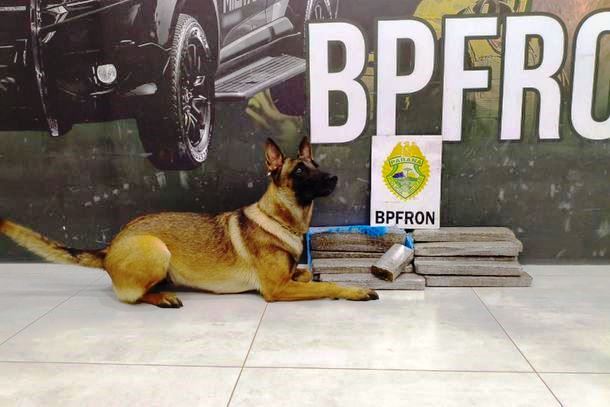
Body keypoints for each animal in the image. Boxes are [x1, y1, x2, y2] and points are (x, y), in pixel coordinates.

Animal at [0, 137, 379, 307]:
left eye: (316, 164)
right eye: (300, 171)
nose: (333, 178)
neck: (279, 219)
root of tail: (110, 246)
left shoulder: (288, 277)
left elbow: (306, 272)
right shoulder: (276, 290)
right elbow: (325, 286)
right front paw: (354, 290)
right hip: (156, 249)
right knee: (134, 296)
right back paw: (163, 297)